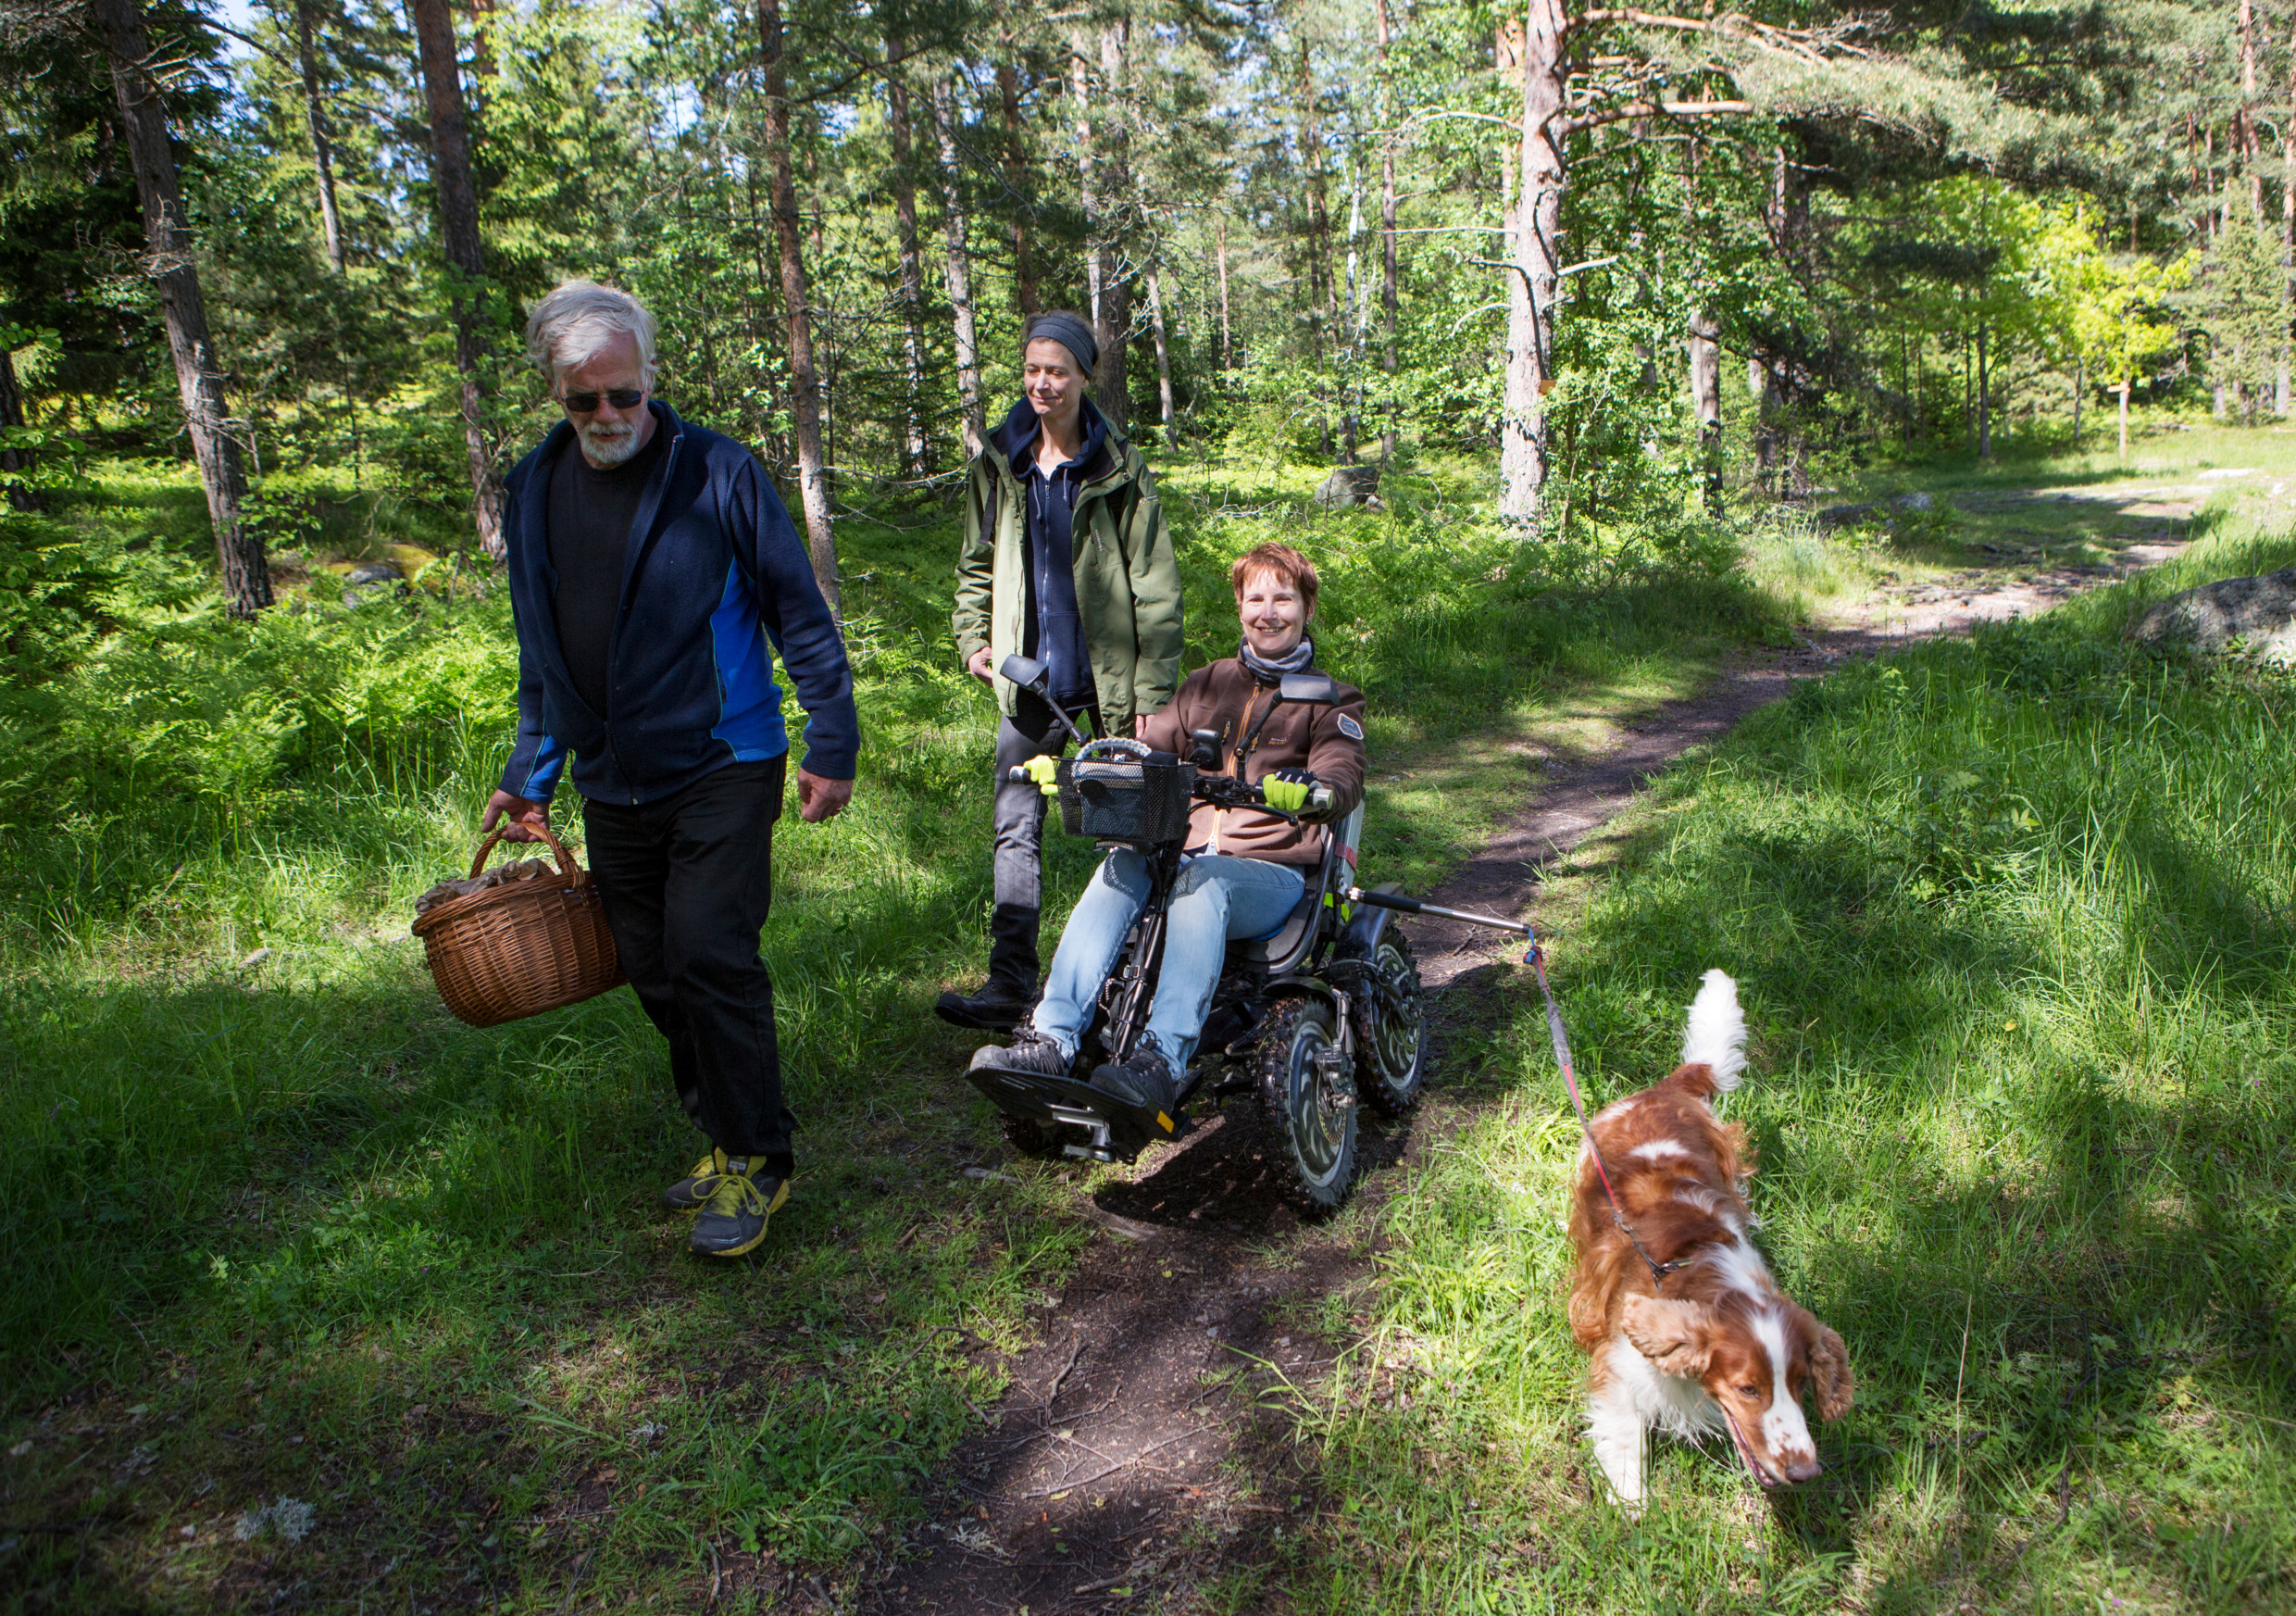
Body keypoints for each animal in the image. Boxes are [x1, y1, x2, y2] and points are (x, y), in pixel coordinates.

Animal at [1570, 964, 1854, 1506]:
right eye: (1748, 1389)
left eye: (1800, 1383)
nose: (1805, 1472)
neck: (1697, 1269)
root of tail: (1664, 1089)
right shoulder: (1621, 1365)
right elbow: (1625, 1433)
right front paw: (1632, 1502)